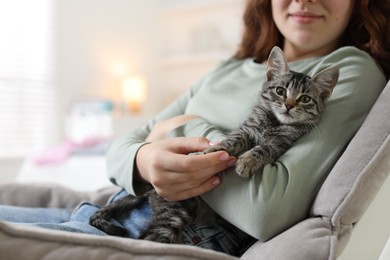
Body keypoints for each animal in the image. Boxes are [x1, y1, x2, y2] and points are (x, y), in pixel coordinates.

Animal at [88, 46, 338, 244]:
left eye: (305, 98)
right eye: (280, 91)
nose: (288, 105)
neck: (273, 121)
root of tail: (151, 190)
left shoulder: (282, 141)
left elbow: (264, 148)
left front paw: (247, 161)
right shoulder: (246, 129)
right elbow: (232, 140)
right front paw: (214, 149)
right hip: (175, 209)